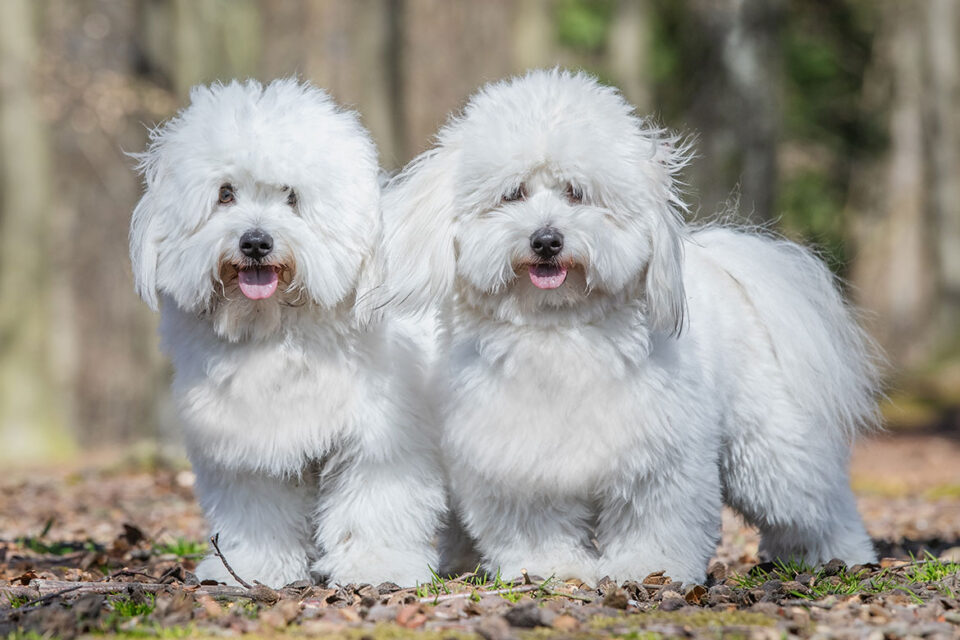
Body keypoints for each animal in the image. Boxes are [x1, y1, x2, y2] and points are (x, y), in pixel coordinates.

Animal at [128, 77, 446, 588]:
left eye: (292, 197)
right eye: (225, 194)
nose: (255, 242)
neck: (278, 332)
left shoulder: (382, 440)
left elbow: (374, 508)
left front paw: (376, 567)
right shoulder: (247, 443)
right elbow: (260, 512)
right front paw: (252, 569)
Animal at [378, 69, 880, 584]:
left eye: (576, 192)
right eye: (513, 193)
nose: (546, 240)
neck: (559, 333)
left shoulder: (660, 459)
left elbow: (652, 520)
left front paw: (647, 570)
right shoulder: (518, 466)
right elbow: (537, 527)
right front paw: (553, 569)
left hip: (769, 445)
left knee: (814, 501)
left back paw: (842, 557)